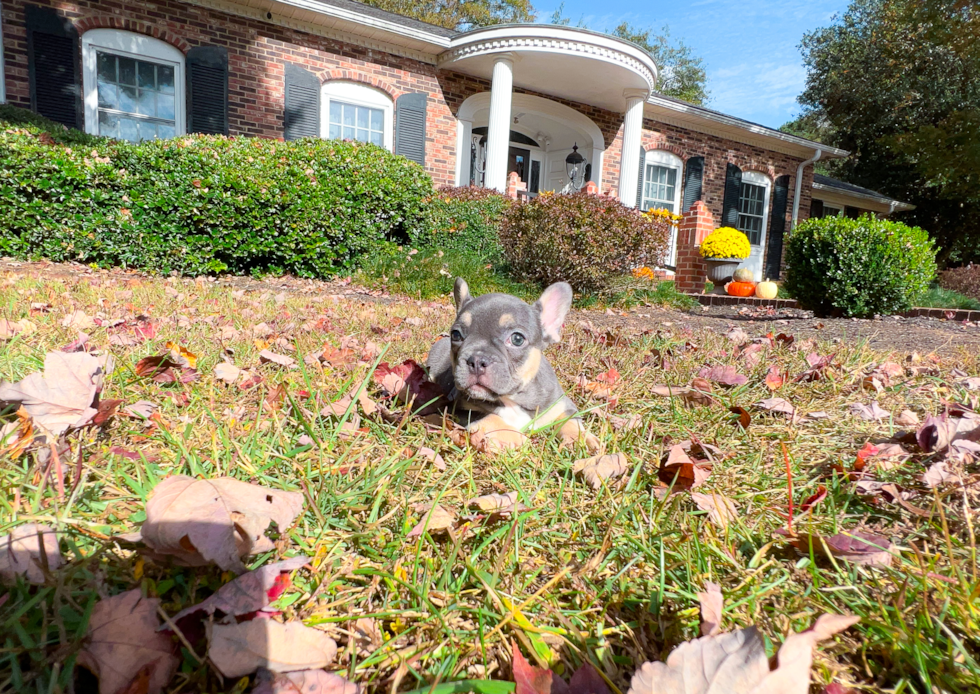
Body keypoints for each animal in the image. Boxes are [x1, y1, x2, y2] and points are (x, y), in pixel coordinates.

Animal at [426, 278, 596, 452]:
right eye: (456, 335)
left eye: (517, 339)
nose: (477, 360)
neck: (513, 397)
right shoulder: (460, 409)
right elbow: (491, 417)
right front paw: (519, 438)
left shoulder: (561, 405)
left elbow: (570, 421)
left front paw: (581, 440)